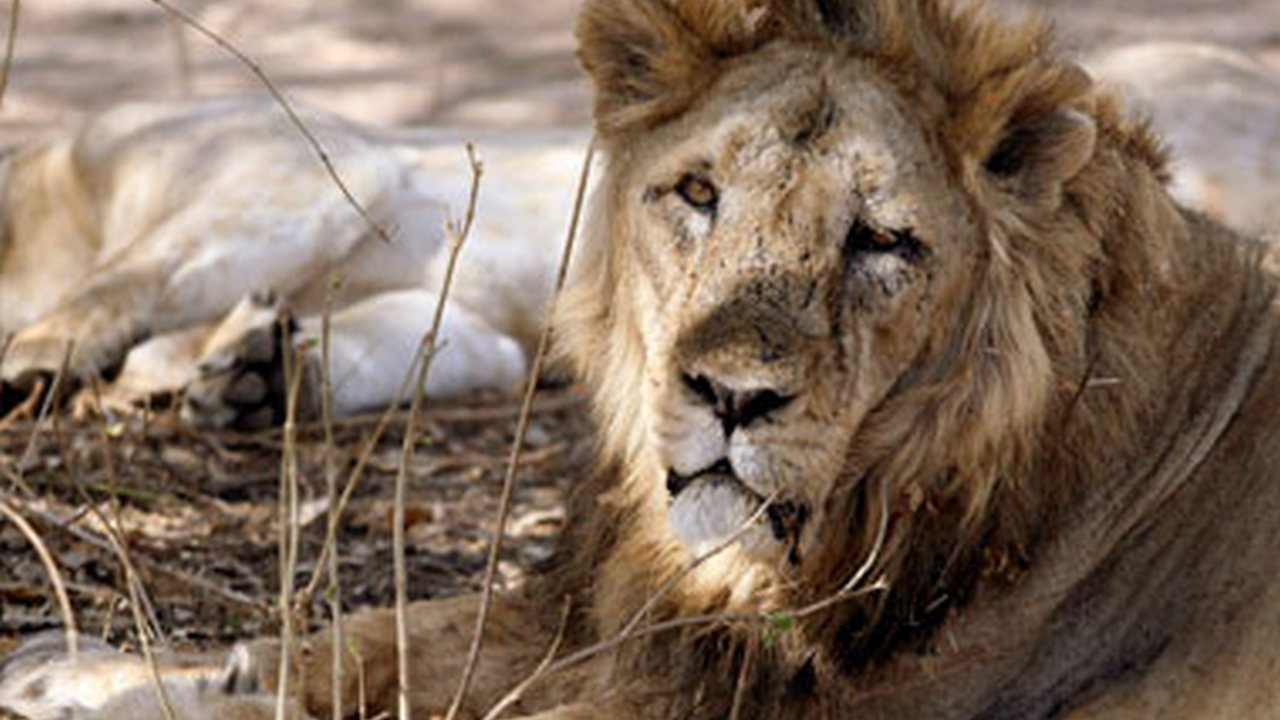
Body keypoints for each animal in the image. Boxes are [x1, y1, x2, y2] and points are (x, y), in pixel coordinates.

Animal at [0, 98, 585, 429]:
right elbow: (387, 338)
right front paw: (258, 373)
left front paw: (35, 356)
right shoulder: (473, 325)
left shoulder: (307, 168)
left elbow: (133, 272)